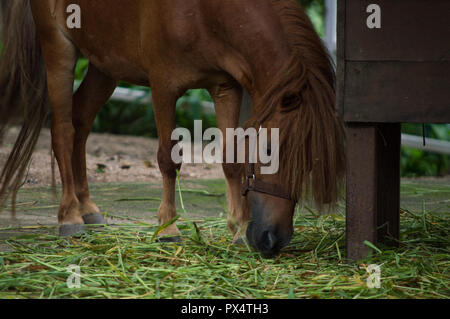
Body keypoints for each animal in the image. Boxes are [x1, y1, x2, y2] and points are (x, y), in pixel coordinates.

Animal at [0, 0, 344, 258]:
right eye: (269, 150)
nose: (274, 239)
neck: (205, 12)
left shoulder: (225, 87)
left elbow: (231, 160)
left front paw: (236, 229)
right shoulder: (163, 85)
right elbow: (168, 159)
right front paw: (168, 228)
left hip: (105, 63)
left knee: (82, 121)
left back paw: (88, 208)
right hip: (58, 46)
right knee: (63, 131)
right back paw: (70, 217)